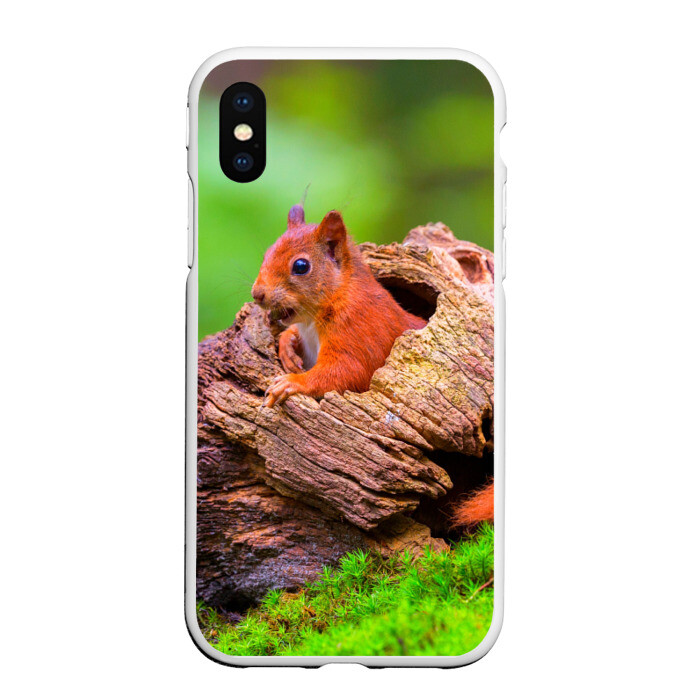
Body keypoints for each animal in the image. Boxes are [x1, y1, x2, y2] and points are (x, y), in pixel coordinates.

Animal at [252, 204, 426, 408]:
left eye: (301, 266)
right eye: (267, 254)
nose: (257, 294)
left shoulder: (358, 327)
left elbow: (347, 371)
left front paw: (293, 381)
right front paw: (287, 347)